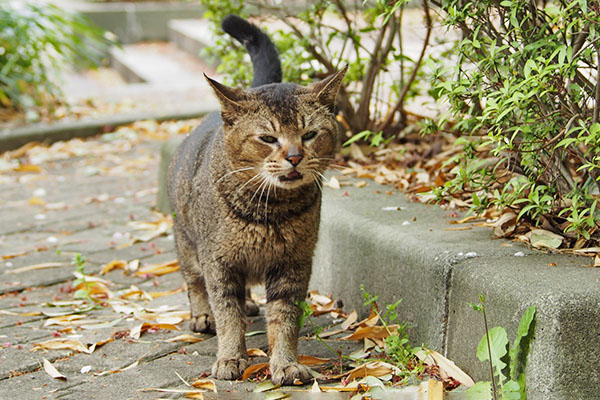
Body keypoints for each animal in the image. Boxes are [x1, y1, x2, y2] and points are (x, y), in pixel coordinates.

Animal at [169, 14, 346, 384]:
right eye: (267, 138)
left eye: (309, 134)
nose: (294, 157)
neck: (271, 211)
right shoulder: (218, 262)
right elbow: (227, 315)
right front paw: (230, 357)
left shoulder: (294, 264)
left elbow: (284, 319)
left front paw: (285, 363)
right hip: (186, 242)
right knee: (194, 283)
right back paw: (202, 316)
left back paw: (250, 301)